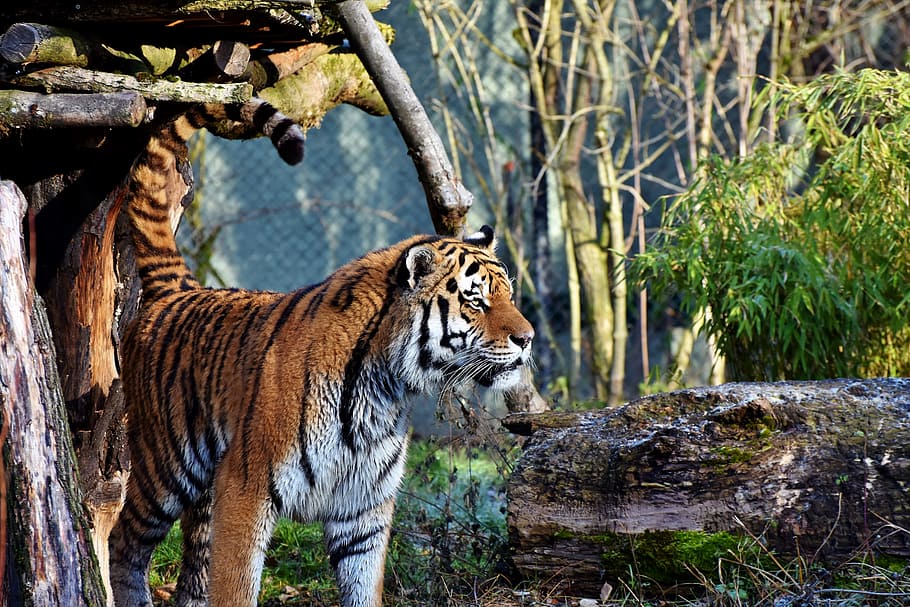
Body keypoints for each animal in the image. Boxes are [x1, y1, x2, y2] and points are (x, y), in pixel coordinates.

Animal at [108, 98, 534, 607]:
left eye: (508, 294)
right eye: (475, 300)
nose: (528, 338)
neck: (385, 388)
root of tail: (180, 289)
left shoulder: (364, 509)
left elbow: (363, 588)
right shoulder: (246, 487)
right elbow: (235, 586)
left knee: (193, 570)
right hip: (165, 465)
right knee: (122, 542)